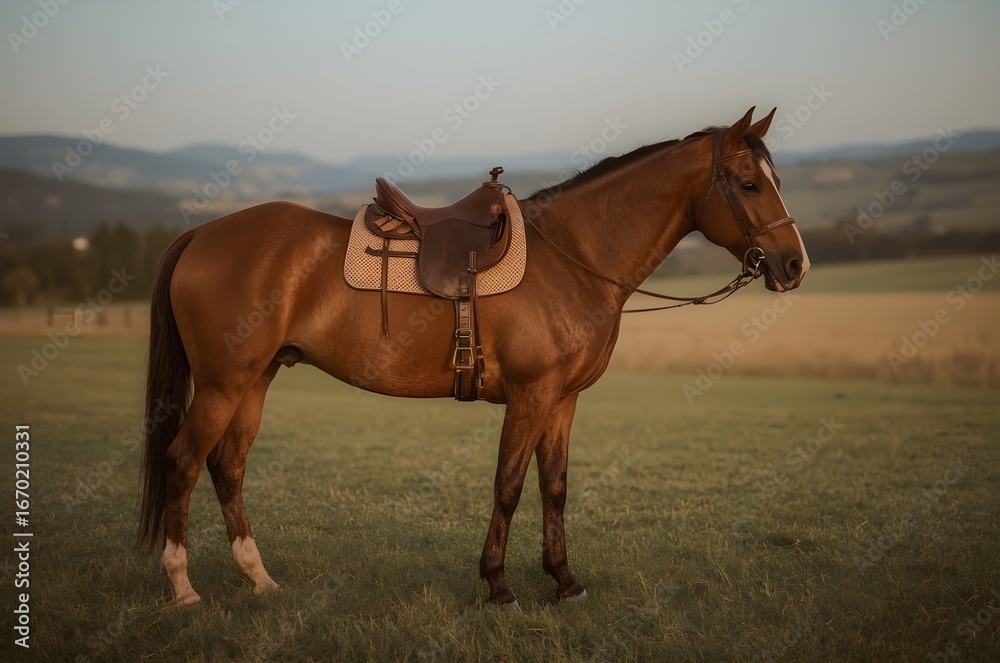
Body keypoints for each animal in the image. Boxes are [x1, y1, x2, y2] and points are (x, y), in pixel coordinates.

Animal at [137, 107, 809, 609]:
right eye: (749, 184)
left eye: (776, 181)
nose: (794, 264)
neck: (572, 256)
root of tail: (202, 234)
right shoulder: (531, 396)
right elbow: (508, 486)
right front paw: (498, 586)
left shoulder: (562, 401)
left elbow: (555, 487)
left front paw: (564, 581)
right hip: (223, 385)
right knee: (183, 462)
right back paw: (182, 587)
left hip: (256, 379)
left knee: (228, 465)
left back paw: (258, 578)